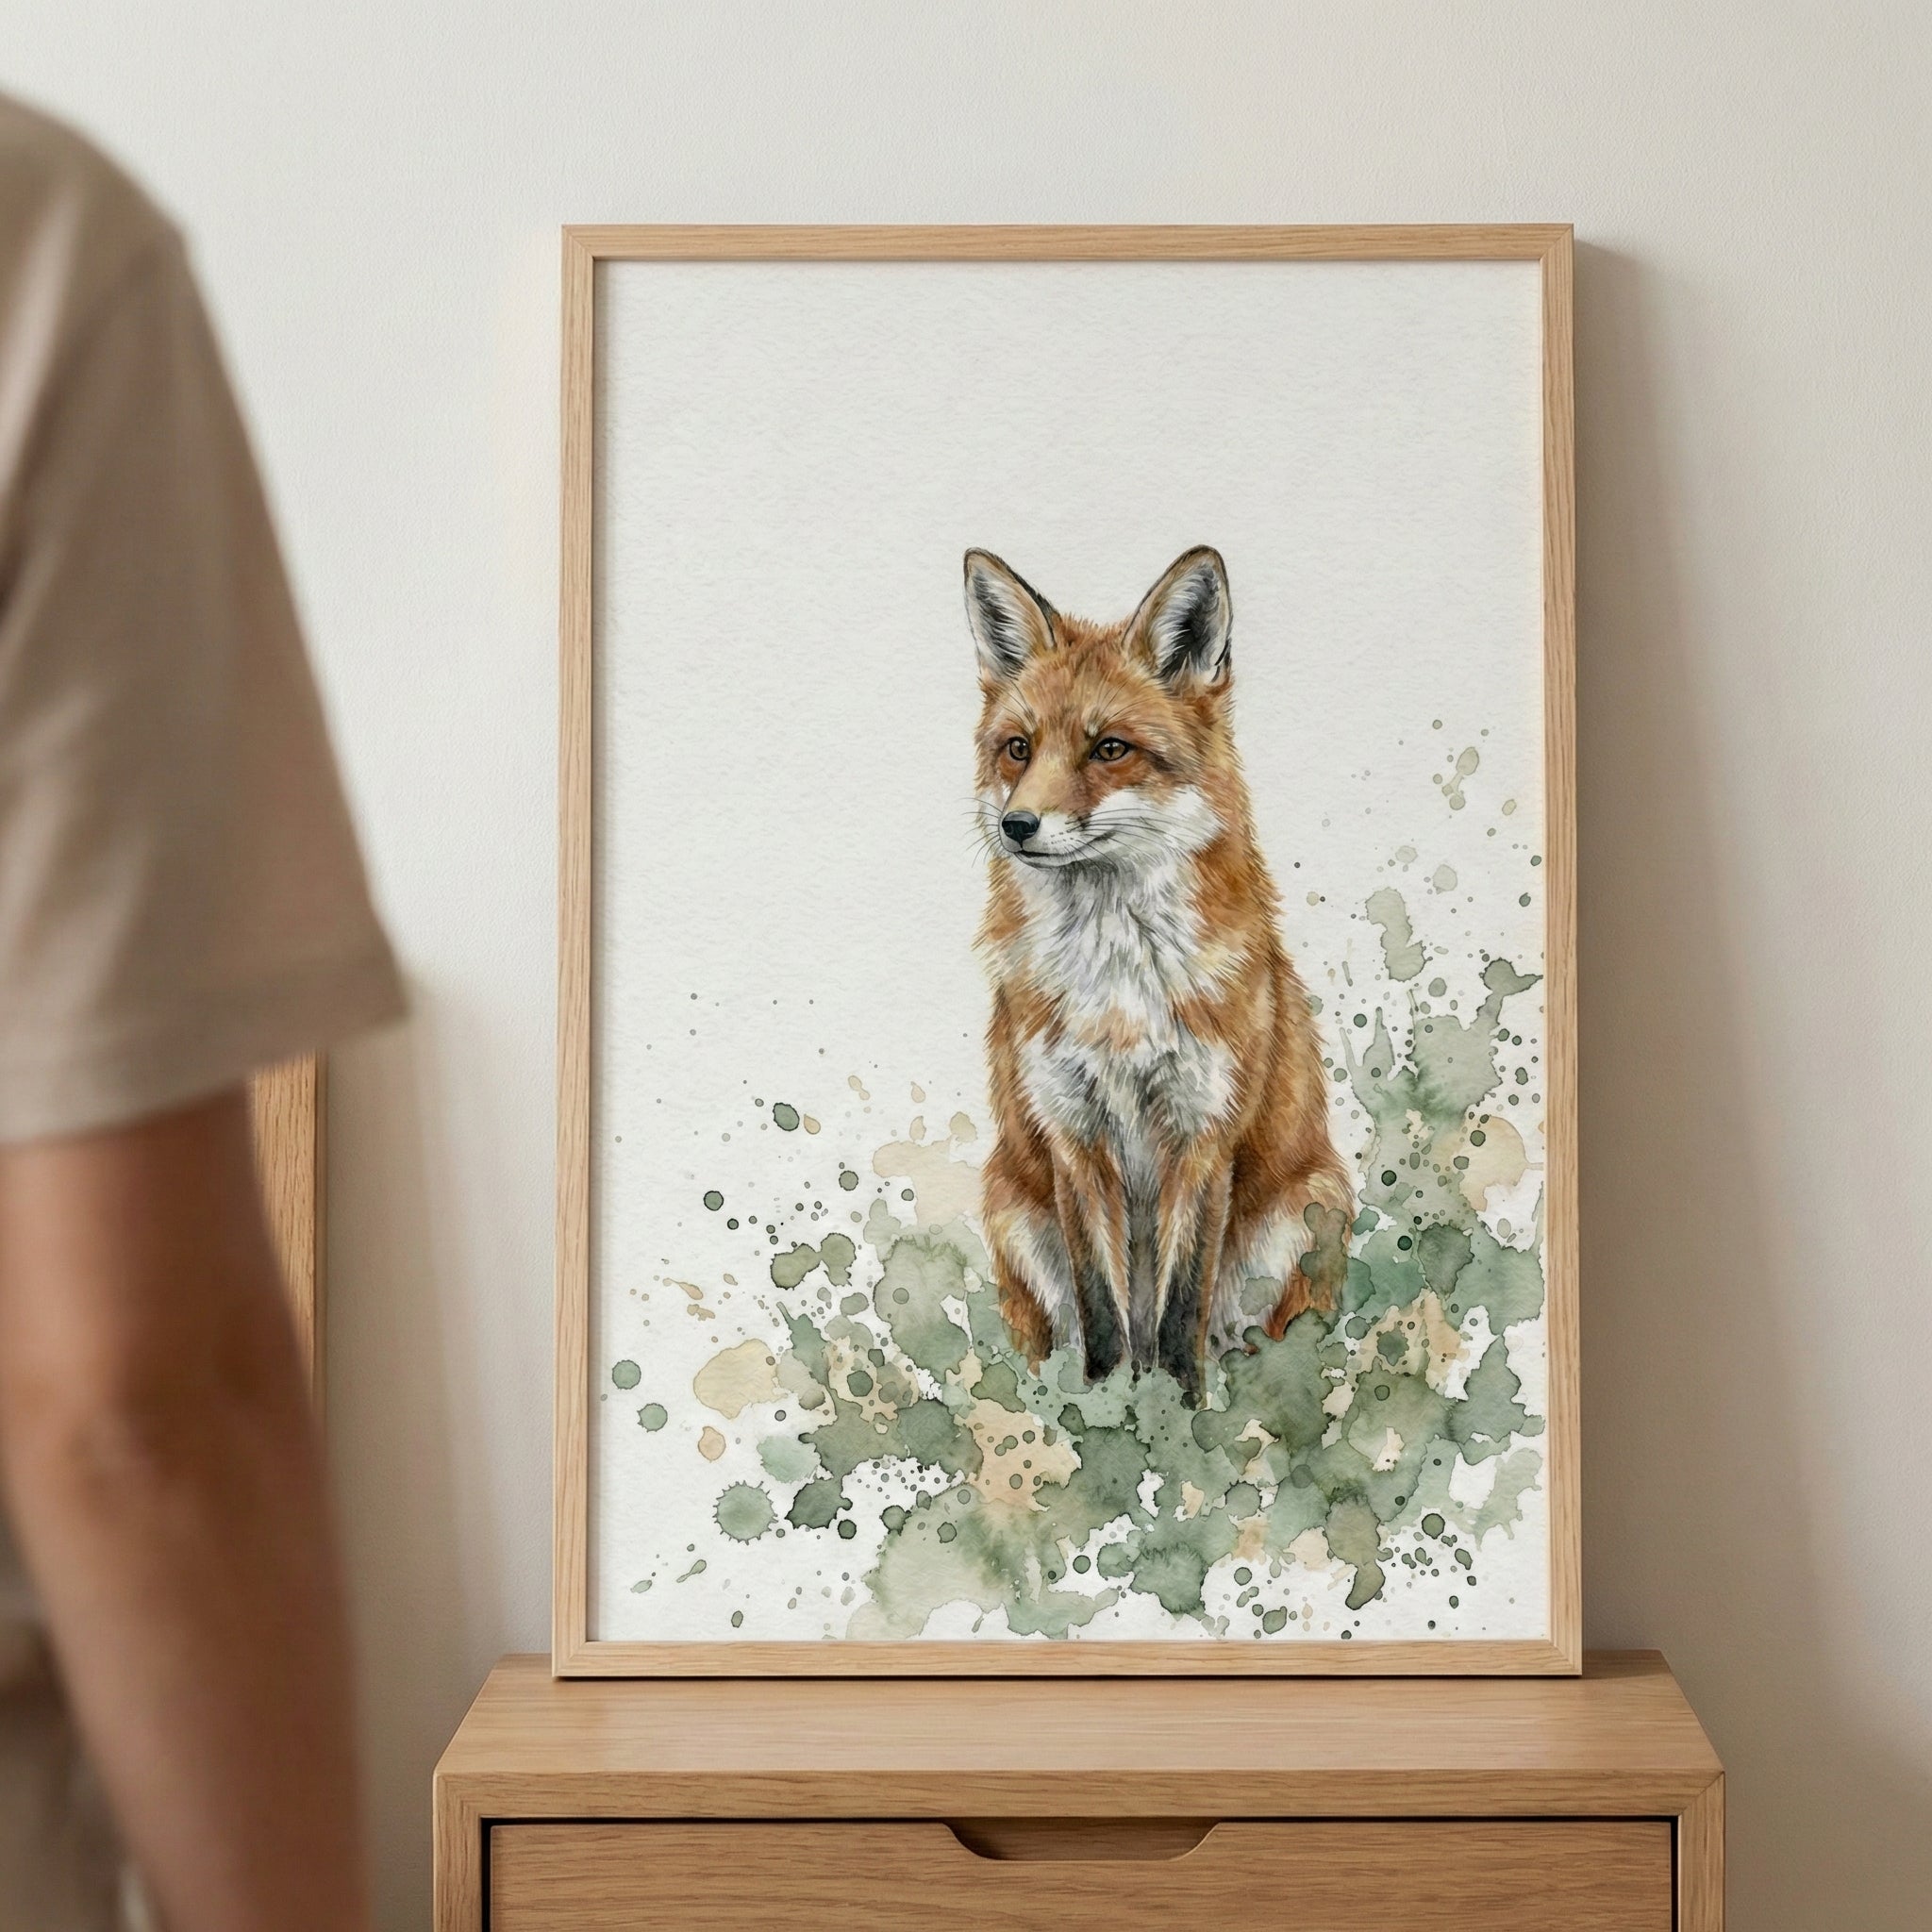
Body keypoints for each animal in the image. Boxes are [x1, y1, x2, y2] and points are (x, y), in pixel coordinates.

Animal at [966, 545, 1353, 1401]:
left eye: (1109, 748)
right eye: (1019, 749)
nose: (1016, 825)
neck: (1118, 988)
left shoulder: (1203, 1132)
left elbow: (1179, 1318)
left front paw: (1176, 1419)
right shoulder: (1072, 1135)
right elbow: (1104, 1314)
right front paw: (1109, 1409)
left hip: (1310, 1211)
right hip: (1012, 1209)